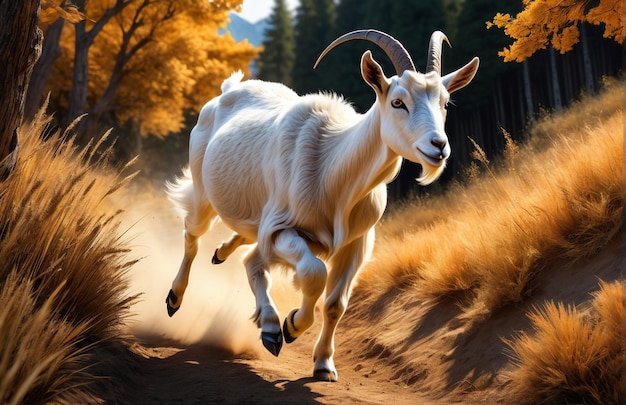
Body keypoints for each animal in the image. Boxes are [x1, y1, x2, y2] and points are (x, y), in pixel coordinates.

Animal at [166, 30, 478, 380]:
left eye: (444, 102)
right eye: (398, 102)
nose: (438, 146)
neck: (332, 168)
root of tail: (227, 90)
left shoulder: (357, 242)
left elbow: (335, 304)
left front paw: (323, 364)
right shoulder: (282, 229)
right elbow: (314, 273)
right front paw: (291, 325)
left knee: (249, 256)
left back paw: (249, 295)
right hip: (204, 192)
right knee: (194, 235)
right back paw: (177, 299)